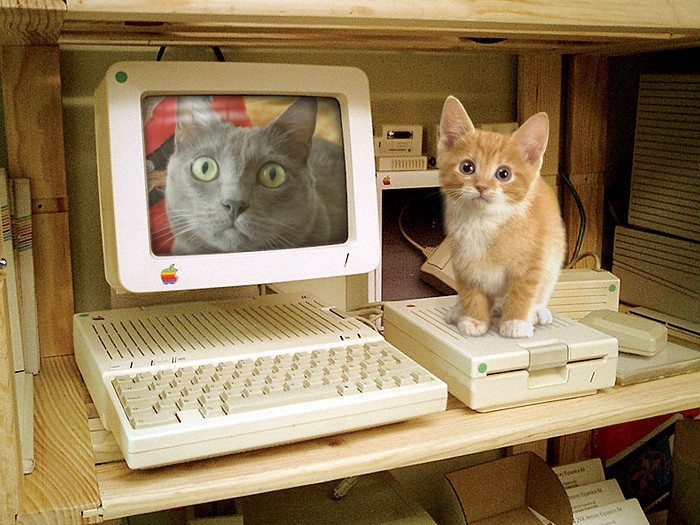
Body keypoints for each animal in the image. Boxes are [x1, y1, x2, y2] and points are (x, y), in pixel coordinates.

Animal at [438, 95, 568, 338]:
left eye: (503, 174)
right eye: (467, 167)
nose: (481, 186)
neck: (483, 221)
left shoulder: (532, 261)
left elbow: (522, 291)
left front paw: (516, 322)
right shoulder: (463, 261)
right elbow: (471, 290)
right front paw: (474, 319)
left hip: (554, 256)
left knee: (543, 288)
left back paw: (537, 312)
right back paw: (460, 309)